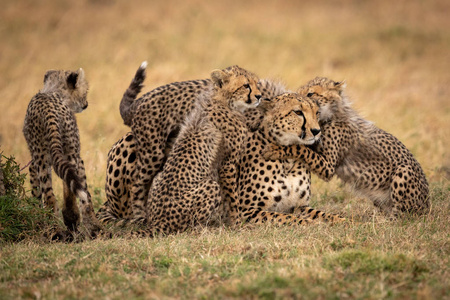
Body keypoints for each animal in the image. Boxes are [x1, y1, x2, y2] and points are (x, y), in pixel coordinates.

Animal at [22, 68, 100, 234]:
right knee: (63, 191)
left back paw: (58, 226)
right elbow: (85, 192)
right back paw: (70, 219)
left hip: (43, 158)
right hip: (65, 153)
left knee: (50, 195)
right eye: (86, 91)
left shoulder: (34, 162)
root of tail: (48, 111)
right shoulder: (78, 158)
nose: (86, 104)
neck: (54, 90)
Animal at [266, 77, 430, 217]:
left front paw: (275, 148)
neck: (331, 115)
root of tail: (428, 204)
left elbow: (301, 148)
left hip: (404, 171)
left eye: (311, 93)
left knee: (404, 215)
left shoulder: (328, 167)